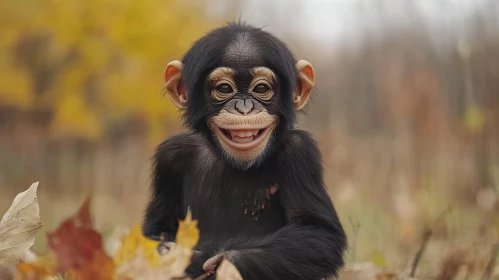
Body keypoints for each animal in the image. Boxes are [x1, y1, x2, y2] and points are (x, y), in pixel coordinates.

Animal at [143, 22, 348, 280]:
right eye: (224, 88)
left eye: (261, 88)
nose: (244, 108)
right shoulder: (170, 157)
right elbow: (157, 228)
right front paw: (166, 253)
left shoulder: (301, 153)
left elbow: (318, 232)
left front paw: (219, 262)